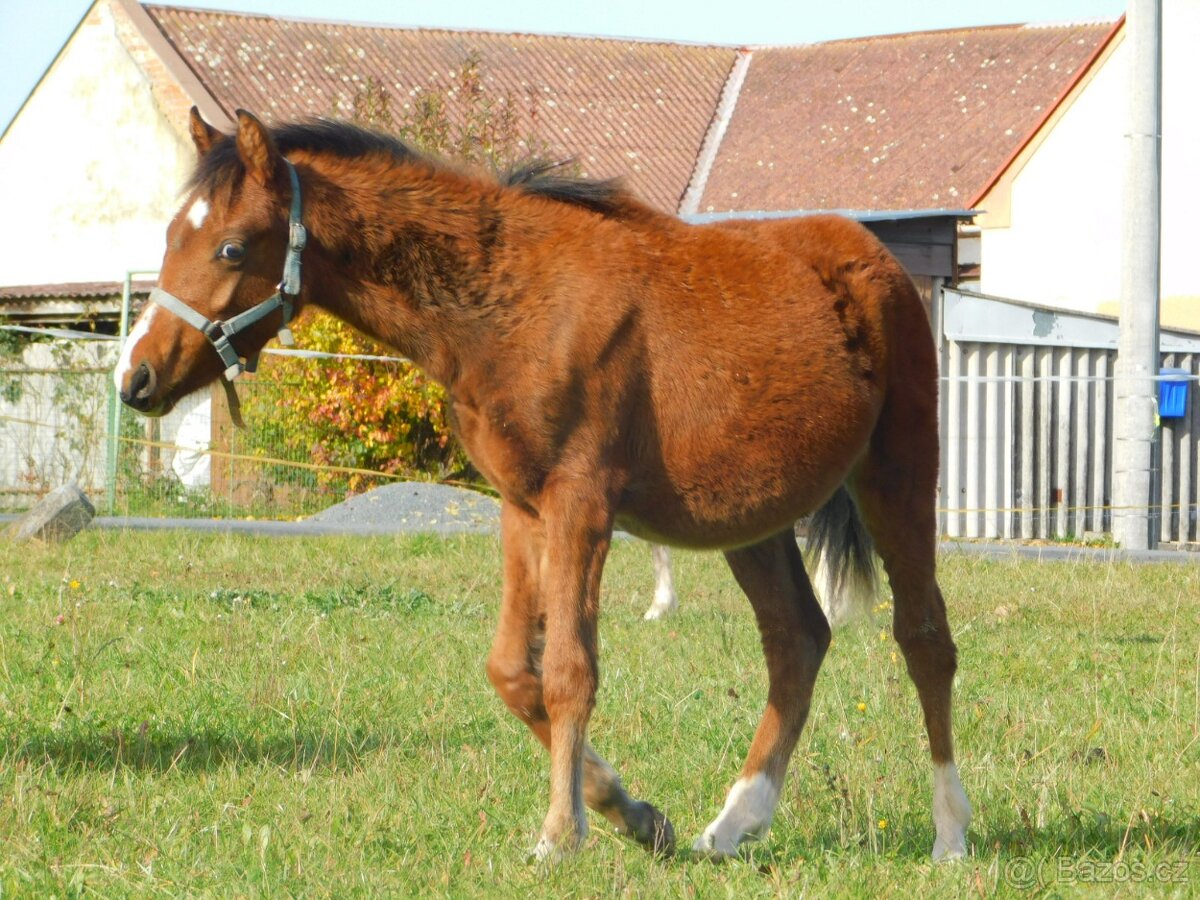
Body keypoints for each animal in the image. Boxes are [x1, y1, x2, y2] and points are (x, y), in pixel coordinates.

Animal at [115, 107, 971, 863]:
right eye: (171, 236)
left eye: (232, 248)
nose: (138, 377)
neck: (511, 306)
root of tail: (878, 259)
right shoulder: (523, 507)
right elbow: (511, 671)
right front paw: (630, 812)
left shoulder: (581, 504)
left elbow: (568, 671)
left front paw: (560, 835)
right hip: (750, 518)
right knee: (798, 639)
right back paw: (734, 823)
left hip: (897, 475)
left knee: (925, 638)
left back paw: (951, 833)